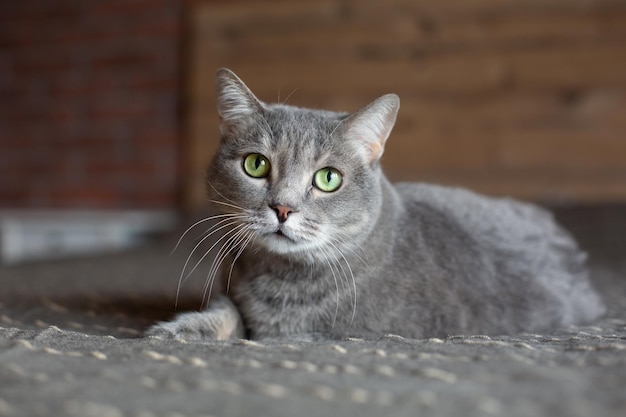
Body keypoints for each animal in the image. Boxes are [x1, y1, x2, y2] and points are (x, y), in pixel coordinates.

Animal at [144, 68, 604, 340]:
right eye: (256, 165)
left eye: (328, 178)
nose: (283, 208)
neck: (282, 280)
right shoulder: (232, 290)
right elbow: (226, 312)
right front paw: (183, 329)